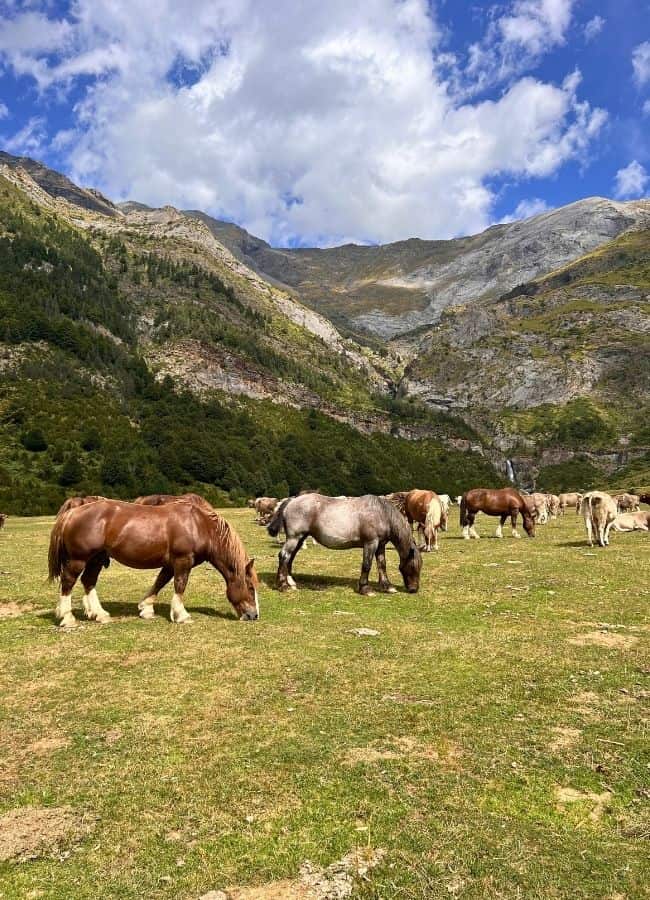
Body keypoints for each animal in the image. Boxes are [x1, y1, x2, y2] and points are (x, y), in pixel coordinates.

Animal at [47, 498, 258, 627]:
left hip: (96, 559)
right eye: (250, 587)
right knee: (68, 583)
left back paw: (100, 614)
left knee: (89, 581)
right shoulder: (183, 560)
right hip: (79, 560)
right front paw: (182, 615)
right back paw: (67, 618)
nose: (254, 615)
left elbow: (160, 582)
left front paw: (146, 608)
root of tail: (72, 512)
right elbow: (179, 585)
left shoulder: (170, 563)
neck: (199, 526)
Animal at [267, 493, 422, 595]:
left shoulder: (380, 545)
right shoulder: (371, 543)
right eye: (413, 567)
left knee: (290, 557)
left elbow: (382, 565)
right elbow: (367, 565)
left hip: (299, 539)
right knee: (284, 556)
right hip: (294, 538)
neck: (381, 513)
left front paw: (387, 586)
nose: (414, 589)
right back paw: (283, 585)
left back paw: (291, 582)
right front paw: (365, 588)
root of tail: (291, 501)